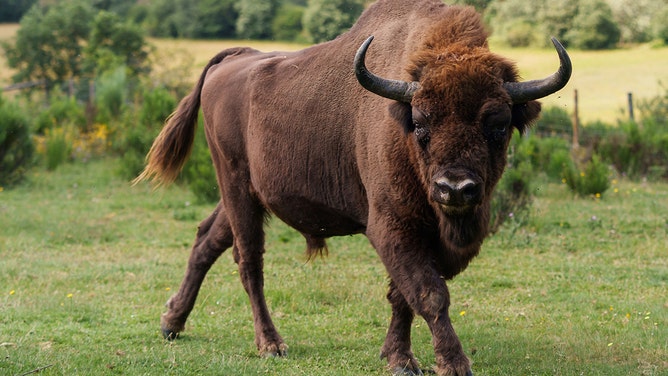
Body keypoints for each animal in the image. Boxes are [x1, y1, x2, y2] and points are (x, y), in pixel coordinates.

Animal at [134, 0, 568, 376]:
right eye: (421, 122)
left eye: (498, 125)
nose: (455, 189)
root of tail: (233, 61)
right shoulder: (392, 227)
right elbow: (429, 294)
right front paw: (451, 363)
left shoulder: (418, 236)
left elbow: (402, 296)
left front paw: (397, 357)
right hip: (235, 185)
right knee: (249, 262)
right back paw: (271, 344)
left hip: (246, 195)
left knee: (207, 240)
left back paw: (171, 323)